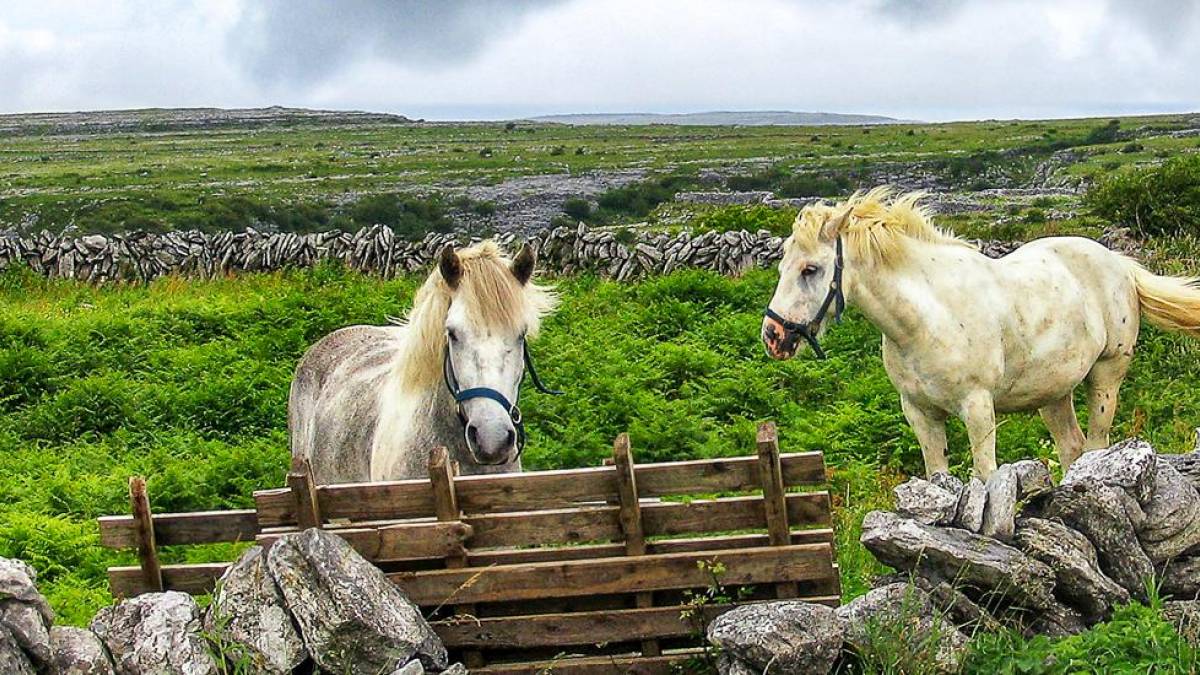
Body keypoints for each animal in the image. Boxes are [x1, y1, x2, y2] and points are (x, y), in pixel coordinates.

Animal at [762, 188, 1200, 479]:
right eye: (781, 266)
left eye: (810, 269)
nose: (773, 336)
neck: (927, 319)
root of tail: (1118, 263)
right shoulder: (919, 414)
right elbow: (938, 478)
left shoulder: (977, 408)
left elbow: (986, 475)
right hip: (1053, 393)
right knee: (1071, 447)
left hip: (1107, 376)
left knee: (1094, 445)